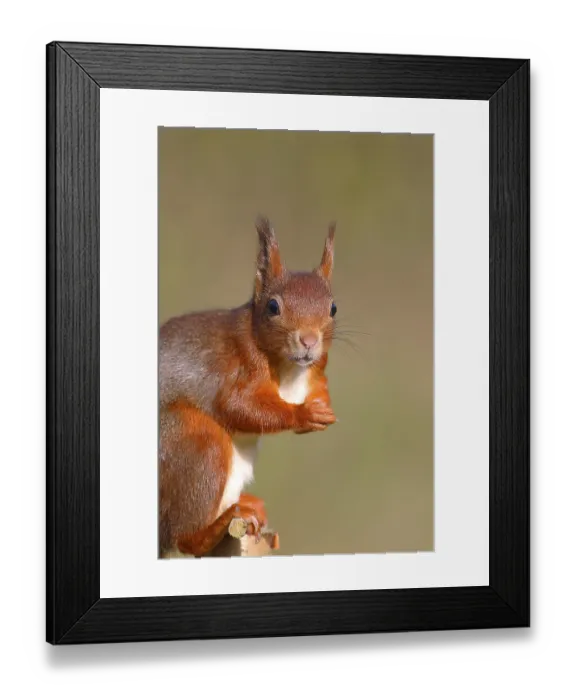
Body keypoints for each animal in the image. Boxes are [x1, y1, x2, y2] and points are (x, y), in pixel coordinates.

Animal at [158, 216, 338, 558]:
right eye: (273, 306)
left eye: (334, 308)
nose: (309, 341)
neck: (291, 369)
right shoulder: (238, 369)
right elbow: (238, 406)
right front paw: (304, 414)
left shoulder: (316, 369)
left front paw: (324, 407)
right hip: (194, 441)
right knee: (181, 537)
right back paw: (215, 525)